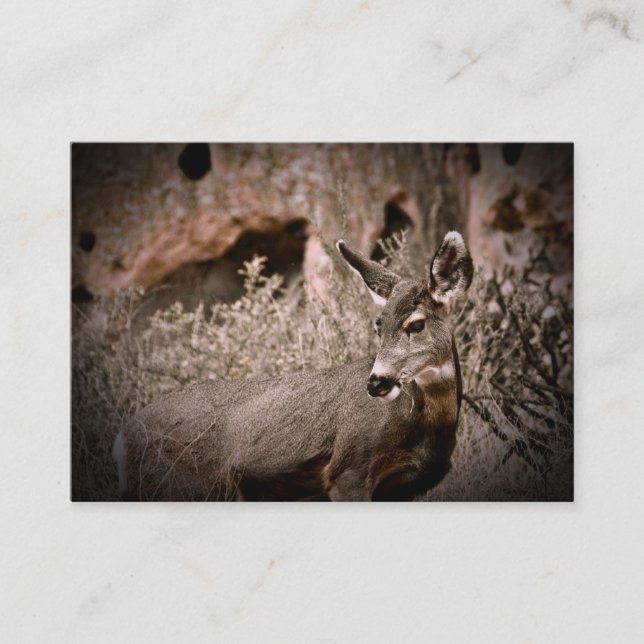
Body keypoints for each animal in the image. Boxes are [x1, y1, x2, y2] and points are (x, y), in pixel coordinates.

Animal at [112, 231, 474, 501]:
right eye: (378, 326)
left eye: (417, 324)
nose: (377, 382)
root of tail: (123, 437)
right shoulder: (349, 469)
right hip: (185, 485)